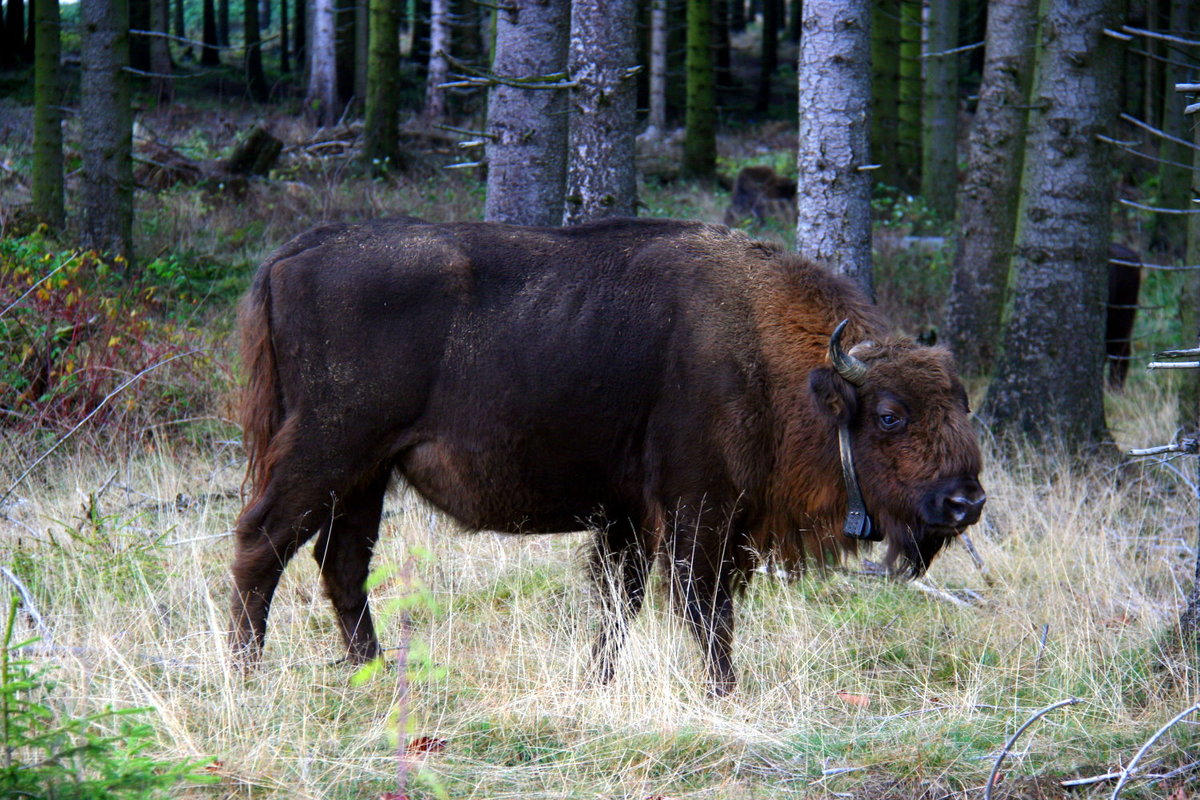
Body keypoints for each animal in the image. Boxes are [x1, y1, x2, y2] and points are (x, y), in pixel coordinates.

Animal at [231, 219, 984, 695]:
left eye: (961, 405)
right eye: (890, 415)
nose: (966, 501)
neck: (769, 357)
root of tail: (294, 254)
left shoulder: (629, 519)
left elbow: (620, 605)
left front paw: (599, 682)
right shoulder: (699, 512)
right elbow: (704, 608)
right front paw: (725, 694)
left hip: (367, 474)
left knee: (341, 564)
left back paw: (379, 675)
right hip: (327, 452)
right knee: (261, 544)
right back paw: (247, 676)